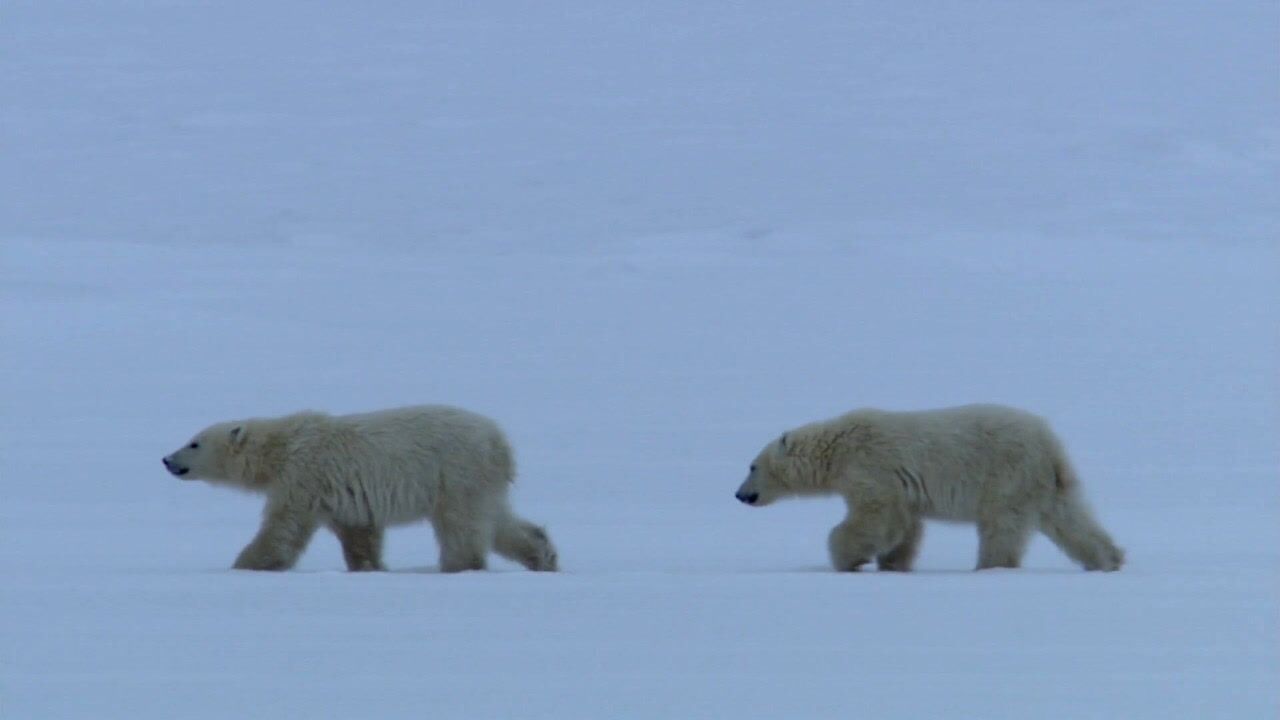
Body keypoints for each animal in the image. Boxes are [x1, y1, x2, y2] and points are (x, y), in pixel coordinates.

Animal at [162, 404, 558, 571]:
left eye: (194, 442)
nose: (166, 459)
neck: (282, 445)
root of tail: (500, 441)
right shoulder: (343, 494)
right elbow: (358, 534)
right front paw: (368, 567)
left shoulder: (304, 474)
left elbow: (284, 528)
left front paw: (245, 565)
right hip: (481, 478)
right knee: (499, 521)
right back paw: (543, 556)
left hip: (456, 470)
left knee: (461, 524)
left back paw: (458, 566)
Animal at [737, 399, 1126, 568]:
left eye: (752, 466)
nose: (740, 495)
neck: (837, 446)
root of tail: (1050, 445)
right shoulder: (900, 487)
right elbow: (905, 527)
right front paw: (892, 564)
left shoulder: (872, 467)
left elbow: (877, 517)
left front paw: (848, 558)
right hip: (1046, 483)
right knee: (1069, 519)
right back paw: (1109, 559)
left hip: (1006, 474)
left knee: (1001, 527)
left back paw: (990, 566)